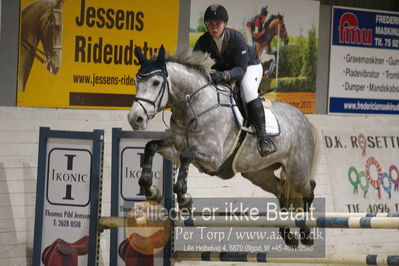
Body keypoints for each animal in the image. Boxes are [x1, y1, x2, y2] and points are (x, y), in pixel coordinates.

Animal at [130, 45, 318, 247]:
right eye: (136, 81)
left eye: (156, 82)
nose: (135, 119)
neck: (194, 107)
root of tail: (304, 118)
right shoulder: (175, 148)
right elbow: (151, 146)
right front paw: (151, 190)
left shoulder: (213, 157)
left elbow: (186, 156)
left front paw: (185, 201)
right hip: (258, 173)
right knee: (281, 190)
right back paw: (288, 236)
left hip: (297, 170)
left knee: (308, 189)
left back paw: (306, 234)